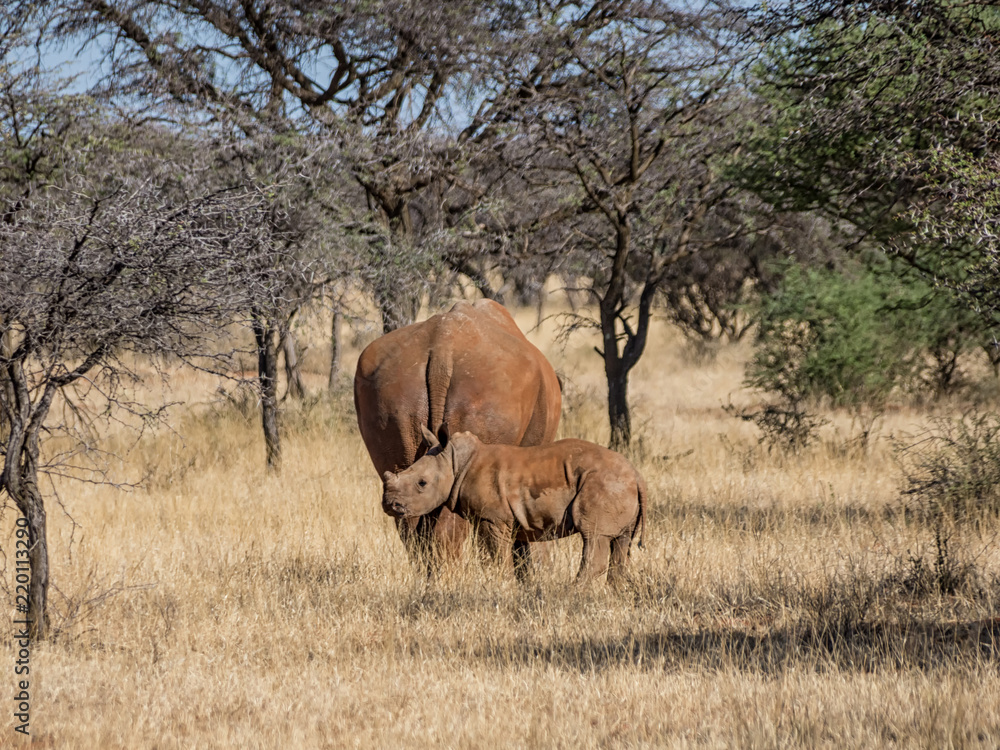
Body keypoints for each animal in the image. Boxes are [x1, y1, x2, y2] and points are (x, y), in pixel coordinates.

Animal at [381, 425, 647, 585]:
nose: (390, 505)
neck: (456, 462)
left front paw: (503, 584)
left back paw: (570, 592)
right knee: (620, 543)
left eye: (422, 483)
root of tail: (636, 475)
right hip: (618, 485)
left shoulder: (493, 518)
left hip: (603, 482)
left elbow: (498, 554)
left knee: (594, 536)